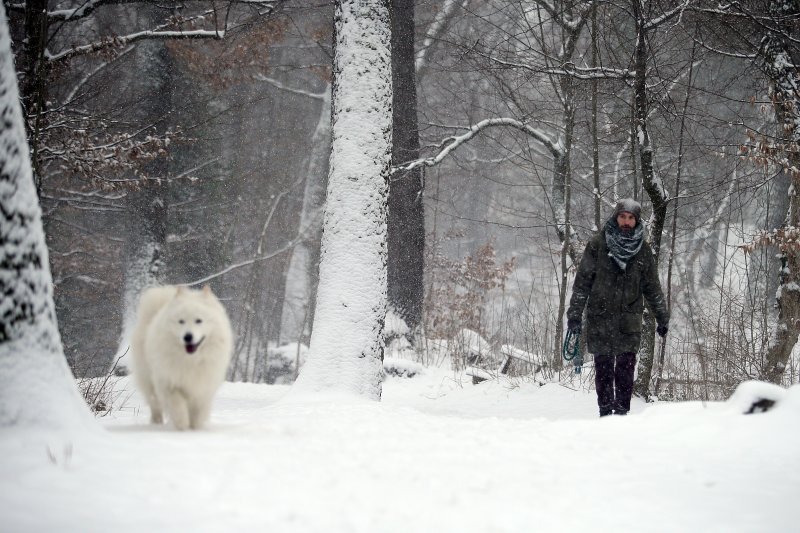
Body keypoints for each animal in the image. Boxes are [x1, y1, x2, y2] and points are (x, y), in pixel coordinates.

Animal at [130, 284, 231, 430]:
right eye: (181, 321)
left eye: (198, 320)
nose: (187, 337)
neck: (190, 360)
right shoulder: (168, 382)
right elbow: (177, 405)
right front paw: (182, 425)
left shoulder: (203, 386)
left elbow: (198, 411)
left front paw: (194, 428)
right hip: (148, 380)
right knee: (155, 405)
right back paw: (156, 423)